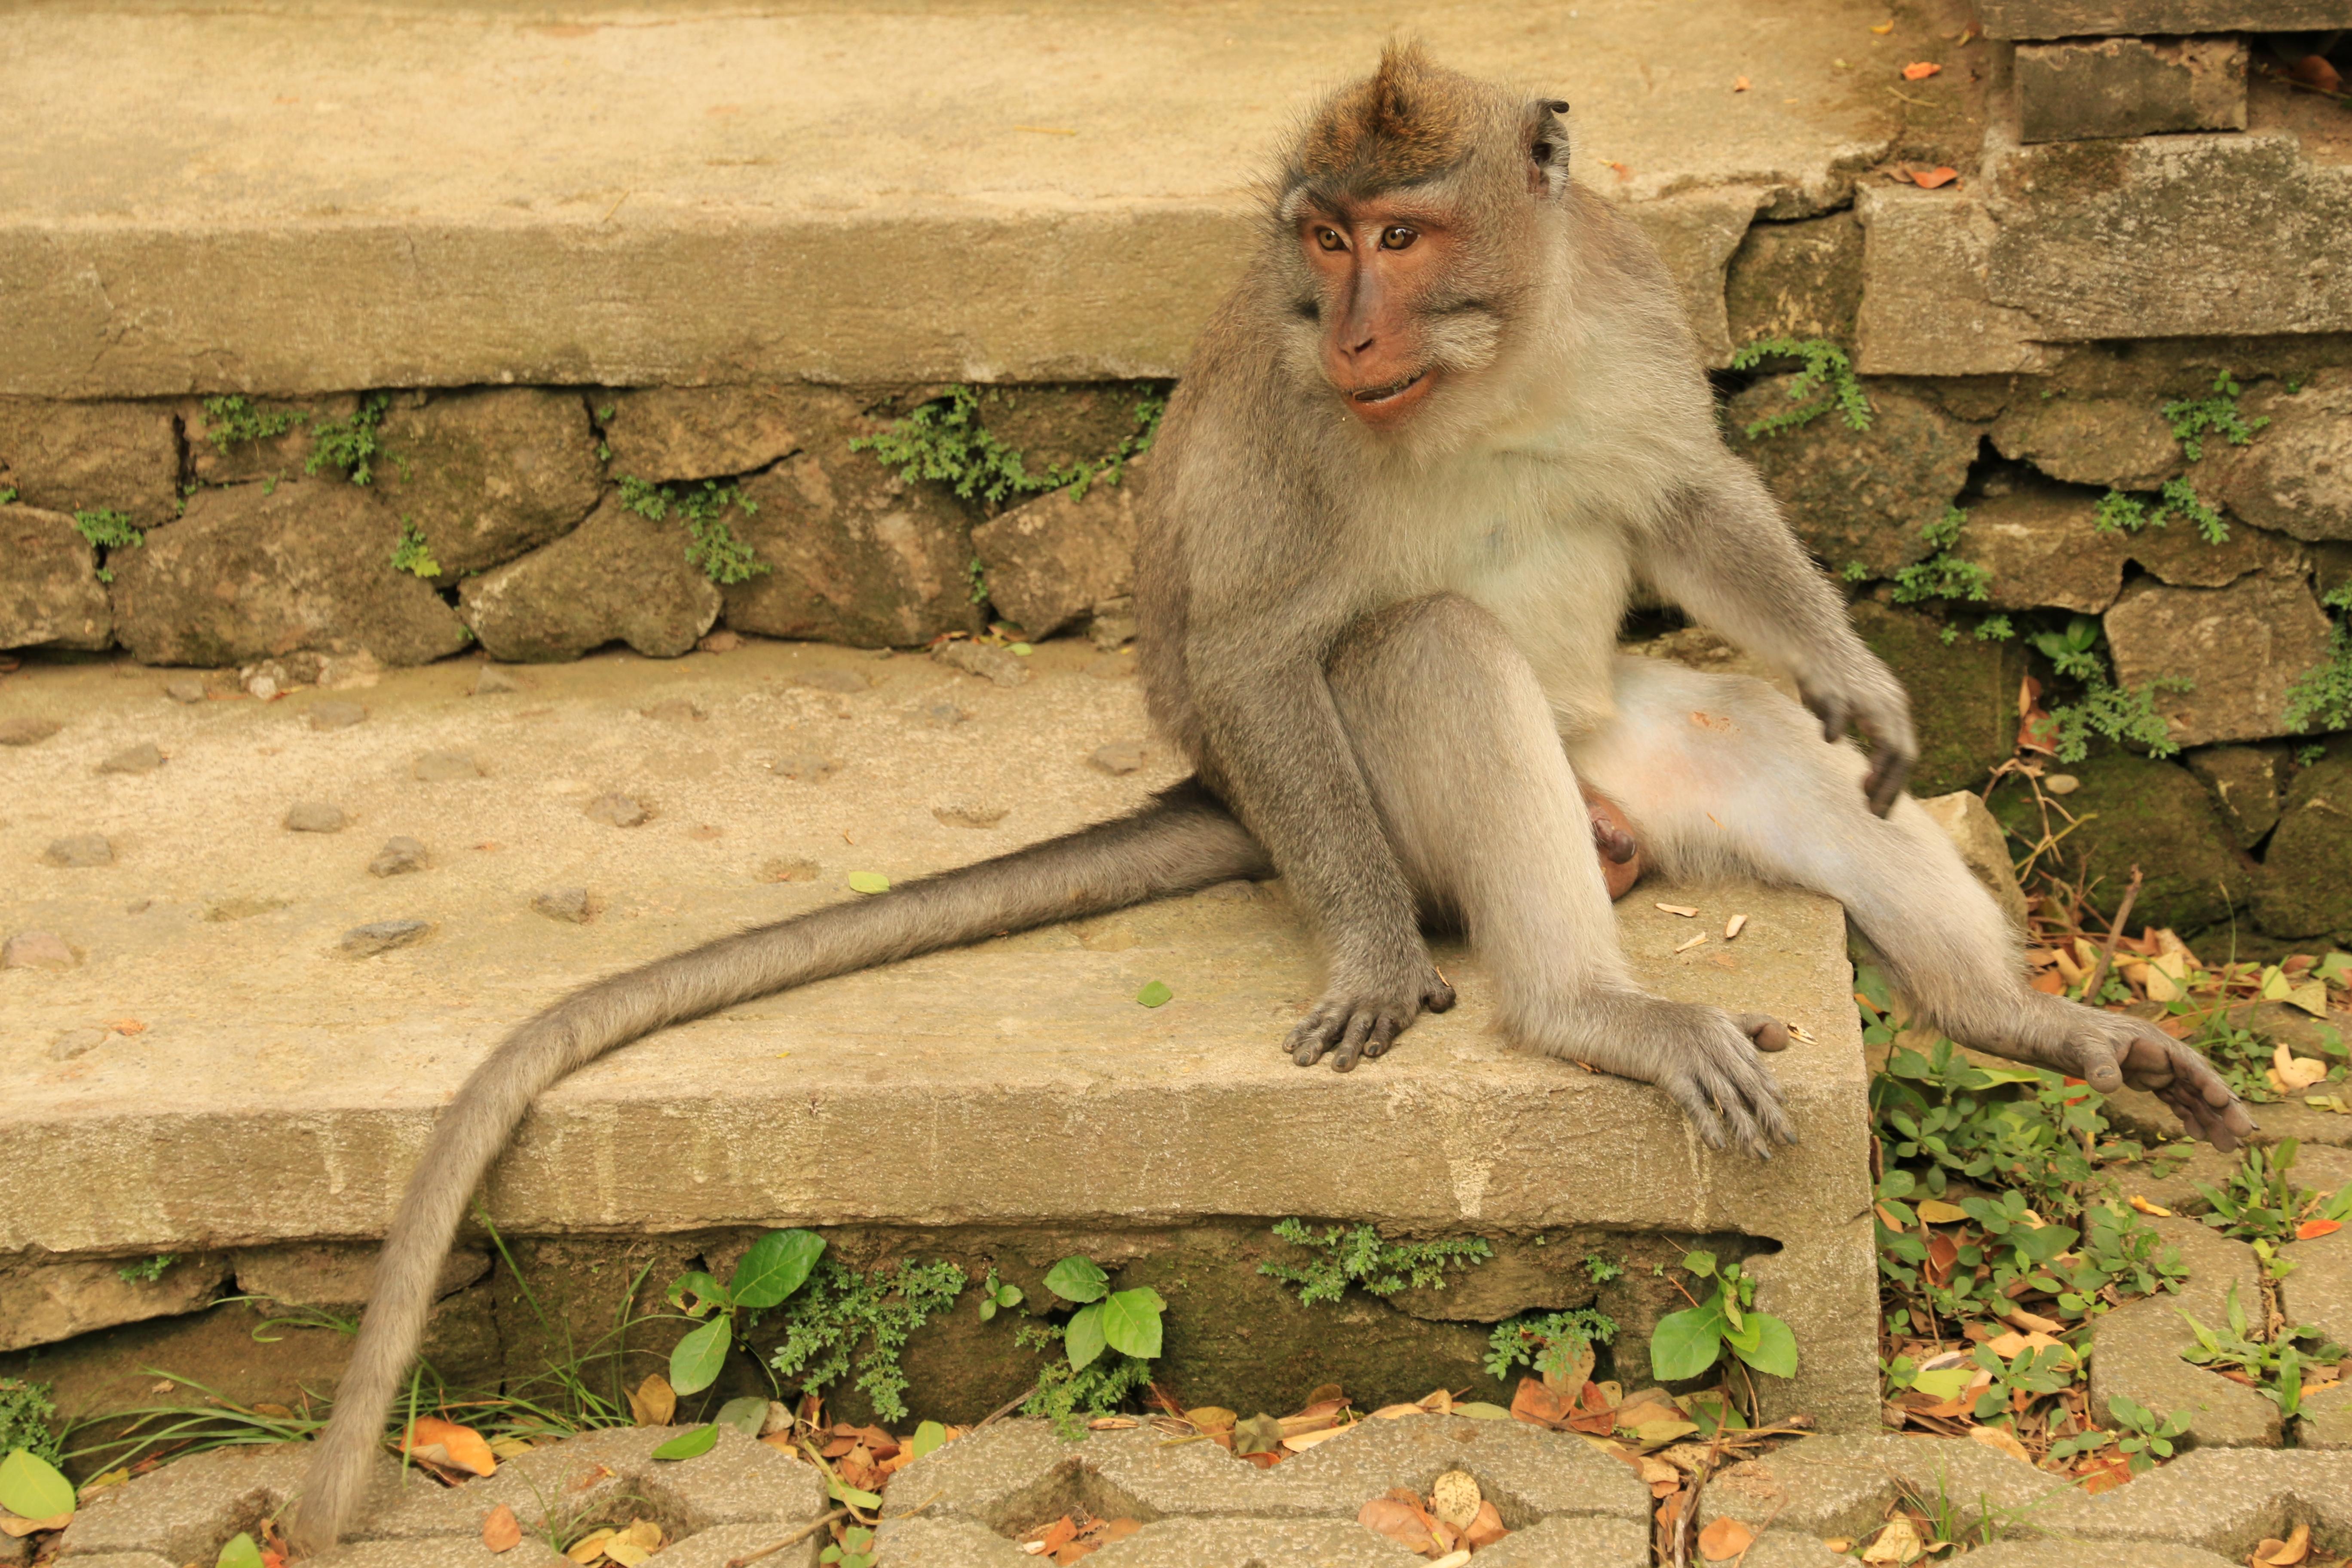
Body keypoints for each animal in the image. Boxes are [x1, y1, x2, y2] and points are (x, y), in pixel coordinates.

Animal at [289, 45, 2253, 1554]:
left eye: (1400, 228)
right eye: (1322, 241)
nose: (1356, 315)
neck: (1488, 358)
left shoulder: (1629, 305)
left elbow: (1690, 497)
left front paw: (1859, 678)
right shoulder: (1299, 410)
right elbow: (1249, 646)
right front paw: (1377, 962)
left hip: (1636, 751)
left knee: (1766, 750)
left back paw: (2019, 1020)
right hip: (1411, 804)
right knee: (1422, 650)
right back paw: (1587, 1005)